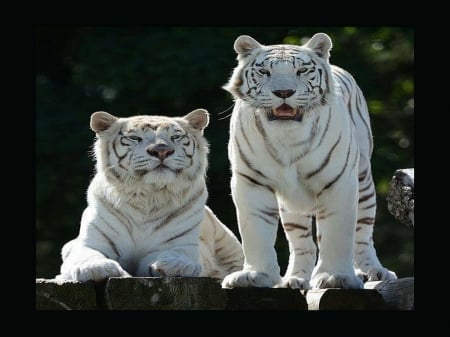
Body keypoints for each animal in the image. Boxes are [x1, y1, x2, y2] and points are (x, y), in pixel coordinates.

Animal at [58, 108, 246, 280]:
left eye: (175, 137)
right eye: (135, 138)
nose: (161, 150)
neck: (148, 196)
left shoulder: (183, 244)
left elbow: (179, 254)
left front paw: (175, 264)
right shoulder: (89, 242)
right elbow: (87, 255)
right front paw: (96, 268)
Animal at [221, 32, 398, 288]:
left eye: (302, 70)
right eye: (264, 72)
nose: (284, 92)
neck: (288, 138)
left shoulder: (339, 181)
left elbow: (336, 232)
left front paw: (335, 276)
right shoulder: (252, 181)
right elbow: (255, 230)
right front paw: (255, 275)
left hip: (364, 183)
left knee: (363, 234)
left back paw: (373, 271)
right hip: (291, 207)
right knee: (302, 243)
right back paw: (295, 279)